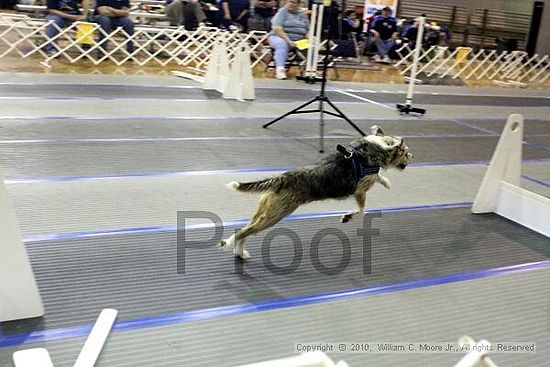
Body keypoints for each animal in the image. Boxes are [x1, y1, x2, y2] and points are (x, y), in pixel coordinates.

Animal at [220, 126, 414, 258]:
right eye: (406, 152)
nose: (413, 157)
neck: (378, 148)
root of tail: (283, 178)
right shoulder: (360, 192)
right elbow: (361, 211)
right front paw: (347, 217)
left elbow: (378, 177)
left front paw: (386, 181)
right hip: (274, 215)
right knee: (243, 232)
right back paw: (233, 246)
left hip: (264, 211)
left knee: (244, 230)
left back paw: (239, 252)